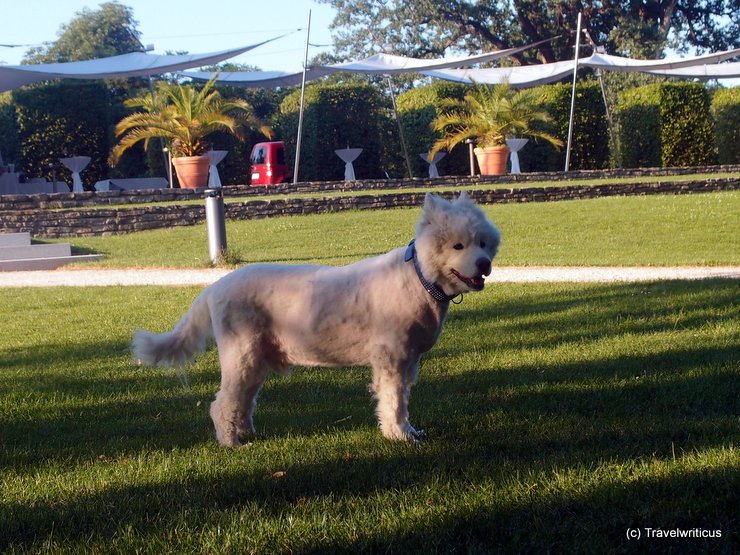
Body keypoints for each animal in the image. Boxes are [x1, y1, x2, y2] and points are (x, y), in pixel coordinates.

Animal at [134, 191, 502, 448]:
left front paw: (410, 431)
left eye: (483, 242)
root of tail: (215, 287)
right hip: (241, 356)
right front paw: (398, 436)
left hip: (255, 361)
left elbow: (404, 401)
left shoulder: (409, 361)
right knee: (223, 403)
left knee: (243, 400)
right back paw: (231, 443)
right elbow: (393, 402)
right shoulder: (392, 360)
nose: (484, 264)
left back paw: (247, 433)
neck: (419, 279)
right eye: (458, 245)